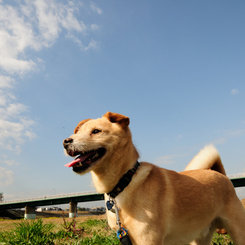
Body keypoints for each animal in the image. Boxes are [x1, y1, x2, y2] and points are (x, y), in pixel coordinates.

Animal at [63, 112, 245, 244]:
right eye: (77, 132)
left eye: (96, 131)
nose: (65, 141)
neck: (124, 181)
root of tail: (221, 174)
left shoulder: (147, 240)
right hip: (199, 236)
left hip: (238, 231)